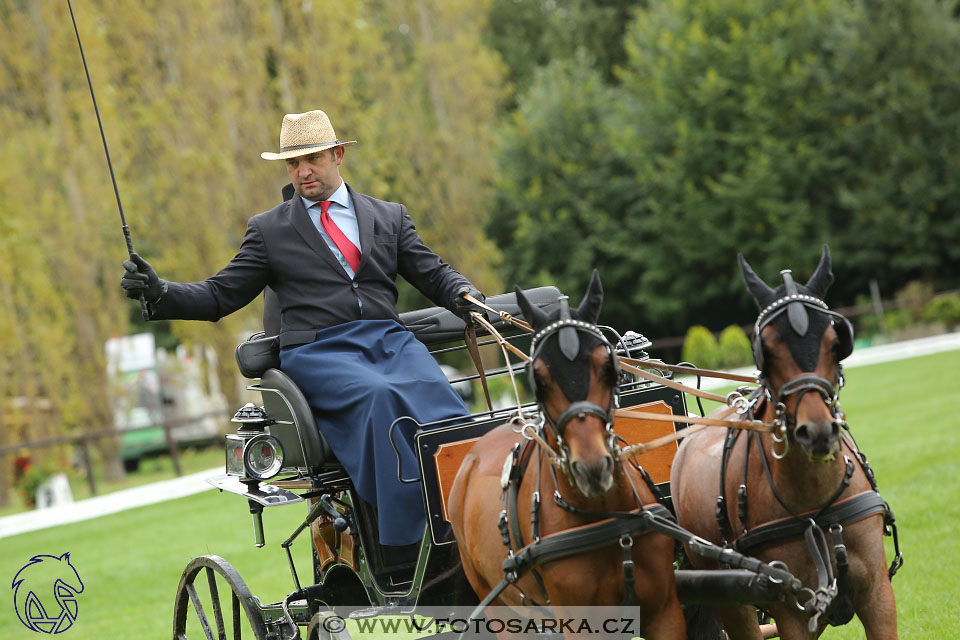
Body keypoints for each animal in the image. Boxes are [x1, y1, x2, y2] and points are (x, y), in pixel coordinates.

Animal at [446, 272, 688, 636]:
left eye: (609, 366)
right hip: (500, 610)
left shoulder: (666, 612)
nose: (592, 467)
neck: (607, 515)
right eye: (538, 378)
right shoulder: (580, 624)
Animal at [668, 246, 900, 640]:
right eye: (767, 348)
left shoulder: (878, 594)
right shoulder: (791, 611)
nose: (817, 431)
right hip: (727, 595)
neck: (817, 508)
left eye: (835, 342)